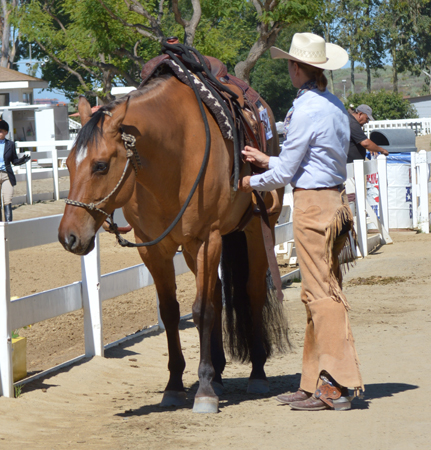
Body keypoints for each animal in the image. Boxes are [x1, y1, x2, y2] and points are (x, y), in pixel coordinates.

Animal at [57, 72, 286, 414]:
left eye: (100, 165)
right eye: (69, 164)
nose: (68, 236)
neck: (173, 156)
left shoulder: (209, 239)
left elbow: (202, 310)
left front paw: (204, 391)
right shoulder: (154, 248)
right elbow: (171, 312)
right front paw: (175, 386)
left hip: (256, 231)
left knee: (253, 292)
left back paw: (256, 373)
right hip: (191, 250)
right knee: (217, 295)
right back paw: (218, 373)